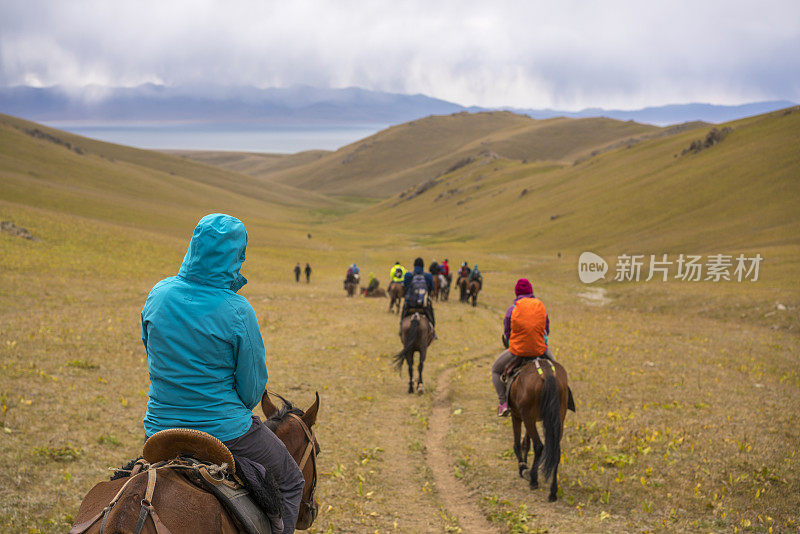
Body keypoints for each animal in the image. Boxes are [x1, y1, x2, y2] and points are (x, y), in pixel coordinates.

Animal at [510, 360, 572, 502]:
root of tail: (547, 373)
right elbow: (526, 442)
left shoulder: (517, 415)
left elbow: (518, 443)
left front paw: (522, 468)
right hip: (558, 417)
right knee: (555, 450)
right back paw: (553, 492)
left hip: (527, 416)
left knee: (538, 446)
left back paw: (533, 479)